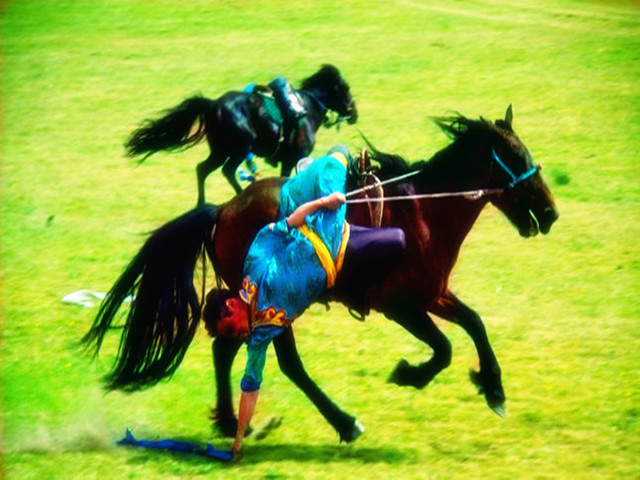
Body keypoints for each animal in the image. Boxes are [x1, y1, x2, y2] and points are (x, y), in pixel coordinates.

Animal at [84, 107, 556, 444]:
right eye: (516, 158)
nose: (551, 213)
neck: (424, 209)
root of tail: (223, 210)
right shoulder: (399, 305)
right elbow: (443, 349)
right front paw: (410, 374)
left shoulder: (433, 294)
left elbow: (475, 324)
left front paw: (494, 388)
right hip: (274, 304)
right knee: (284, 362)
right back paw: (343, 424)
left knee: (225, 347)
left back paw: (232, 422)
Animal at [124, 63, 356, 202]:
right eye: (345, 88)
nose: (354, 113)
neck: (305, 107)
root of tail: (212, 105)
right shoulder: (293, 159)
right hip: (238, 149)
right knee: (226, 171)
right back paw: (240, 194)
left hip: (221, 151)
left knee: (203, 169)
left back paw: (203, 203)